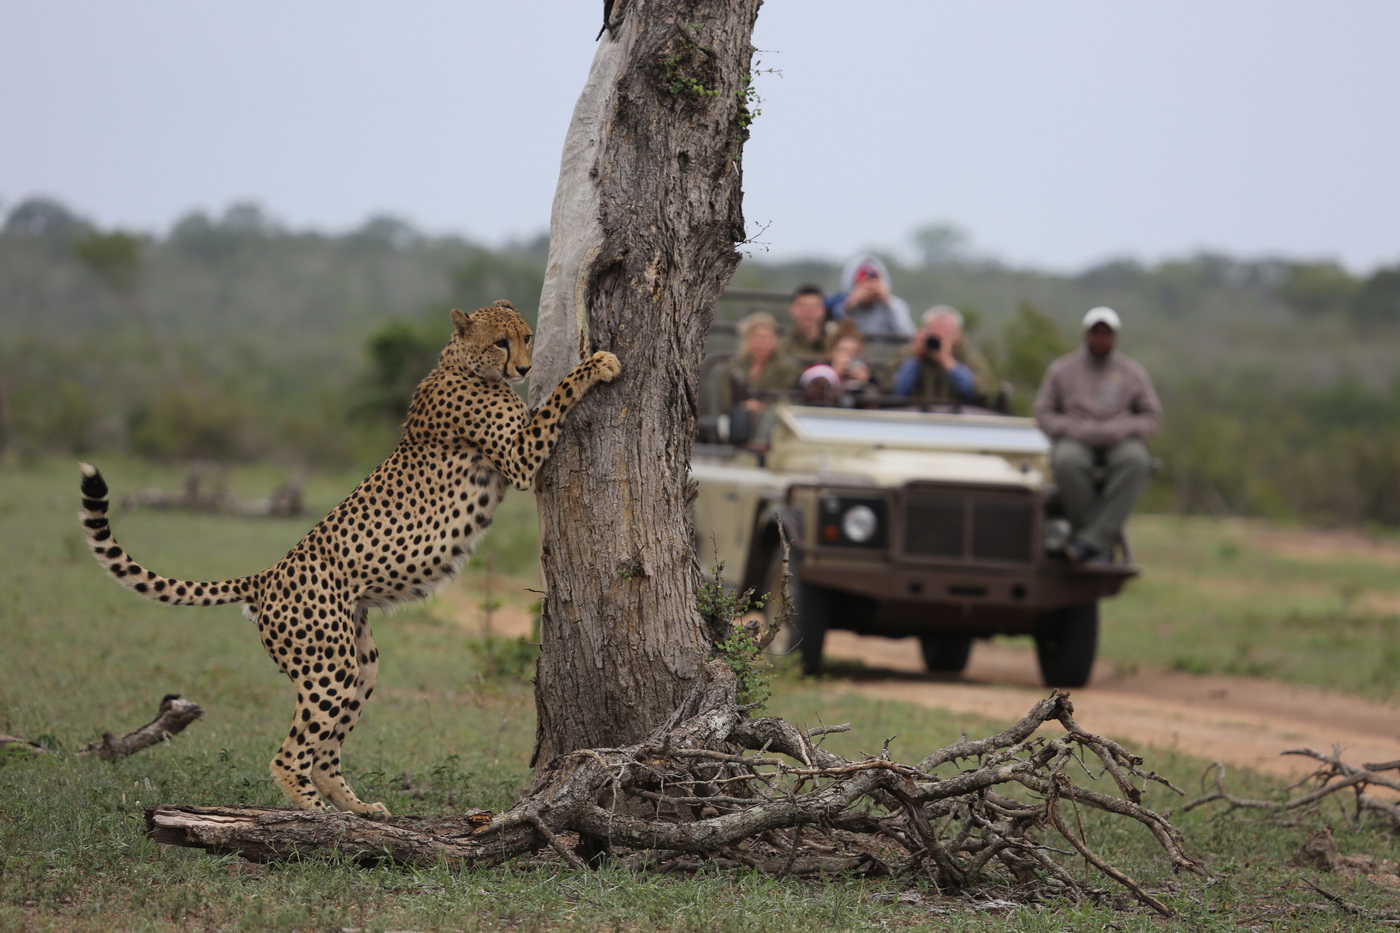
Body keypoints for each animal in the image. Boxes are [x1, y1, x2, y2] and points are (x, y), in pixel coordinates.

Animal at [79, 299, 621, 812]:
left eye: (527, 337)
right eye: (500, 343)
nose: (525, 368)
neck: (461, 363)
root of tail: (267, 575)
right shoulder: (519, 458)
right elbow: (556, 399)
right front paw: (597, 363)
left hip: (360, 662)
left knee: (324, 753)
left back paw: (359, 810)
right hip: (328, 667)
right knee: (289, 755)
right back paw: (319, 816)